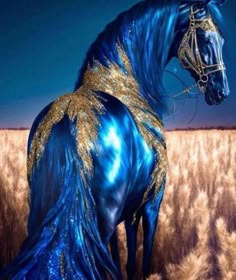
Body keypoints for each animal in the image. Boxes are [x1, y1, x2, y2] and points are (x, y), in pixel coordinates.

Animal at [0, 0, 229, 278]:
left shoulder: (128, 211)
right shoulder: (151, 205)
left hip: (40, 213)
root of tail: (73, 115)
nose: (222, 90)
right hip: (105, 216)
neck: (122, 84)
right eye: (206, 38)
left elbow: (119, 257)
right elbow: (140, 259)